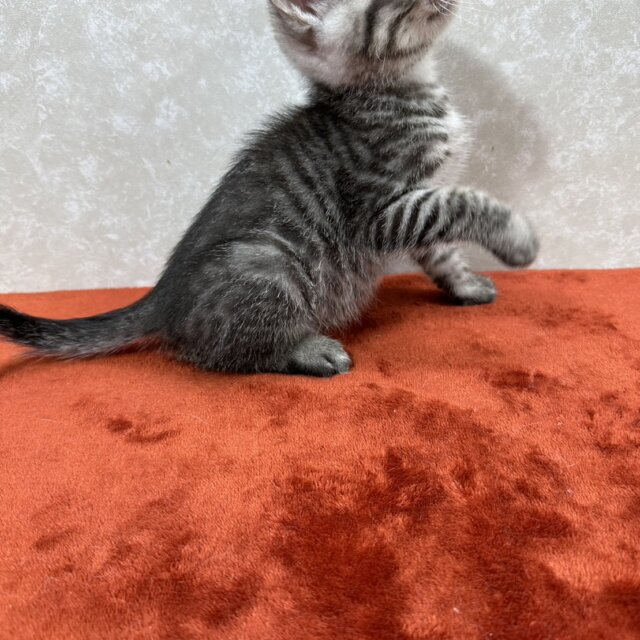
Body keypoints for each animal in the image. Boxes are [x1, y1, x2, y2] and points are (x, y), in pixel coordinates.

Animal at [0, 0, 539, 377]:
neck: (399, 91)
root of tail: (163, 295)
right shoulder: (384, 209)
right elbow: (464, 201)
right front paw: (518, 238)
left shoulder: (417, 206)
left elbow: (444, 251)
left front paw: (466, 285)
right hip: (266, 259)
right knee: (223, 352)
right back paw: (308, 350)